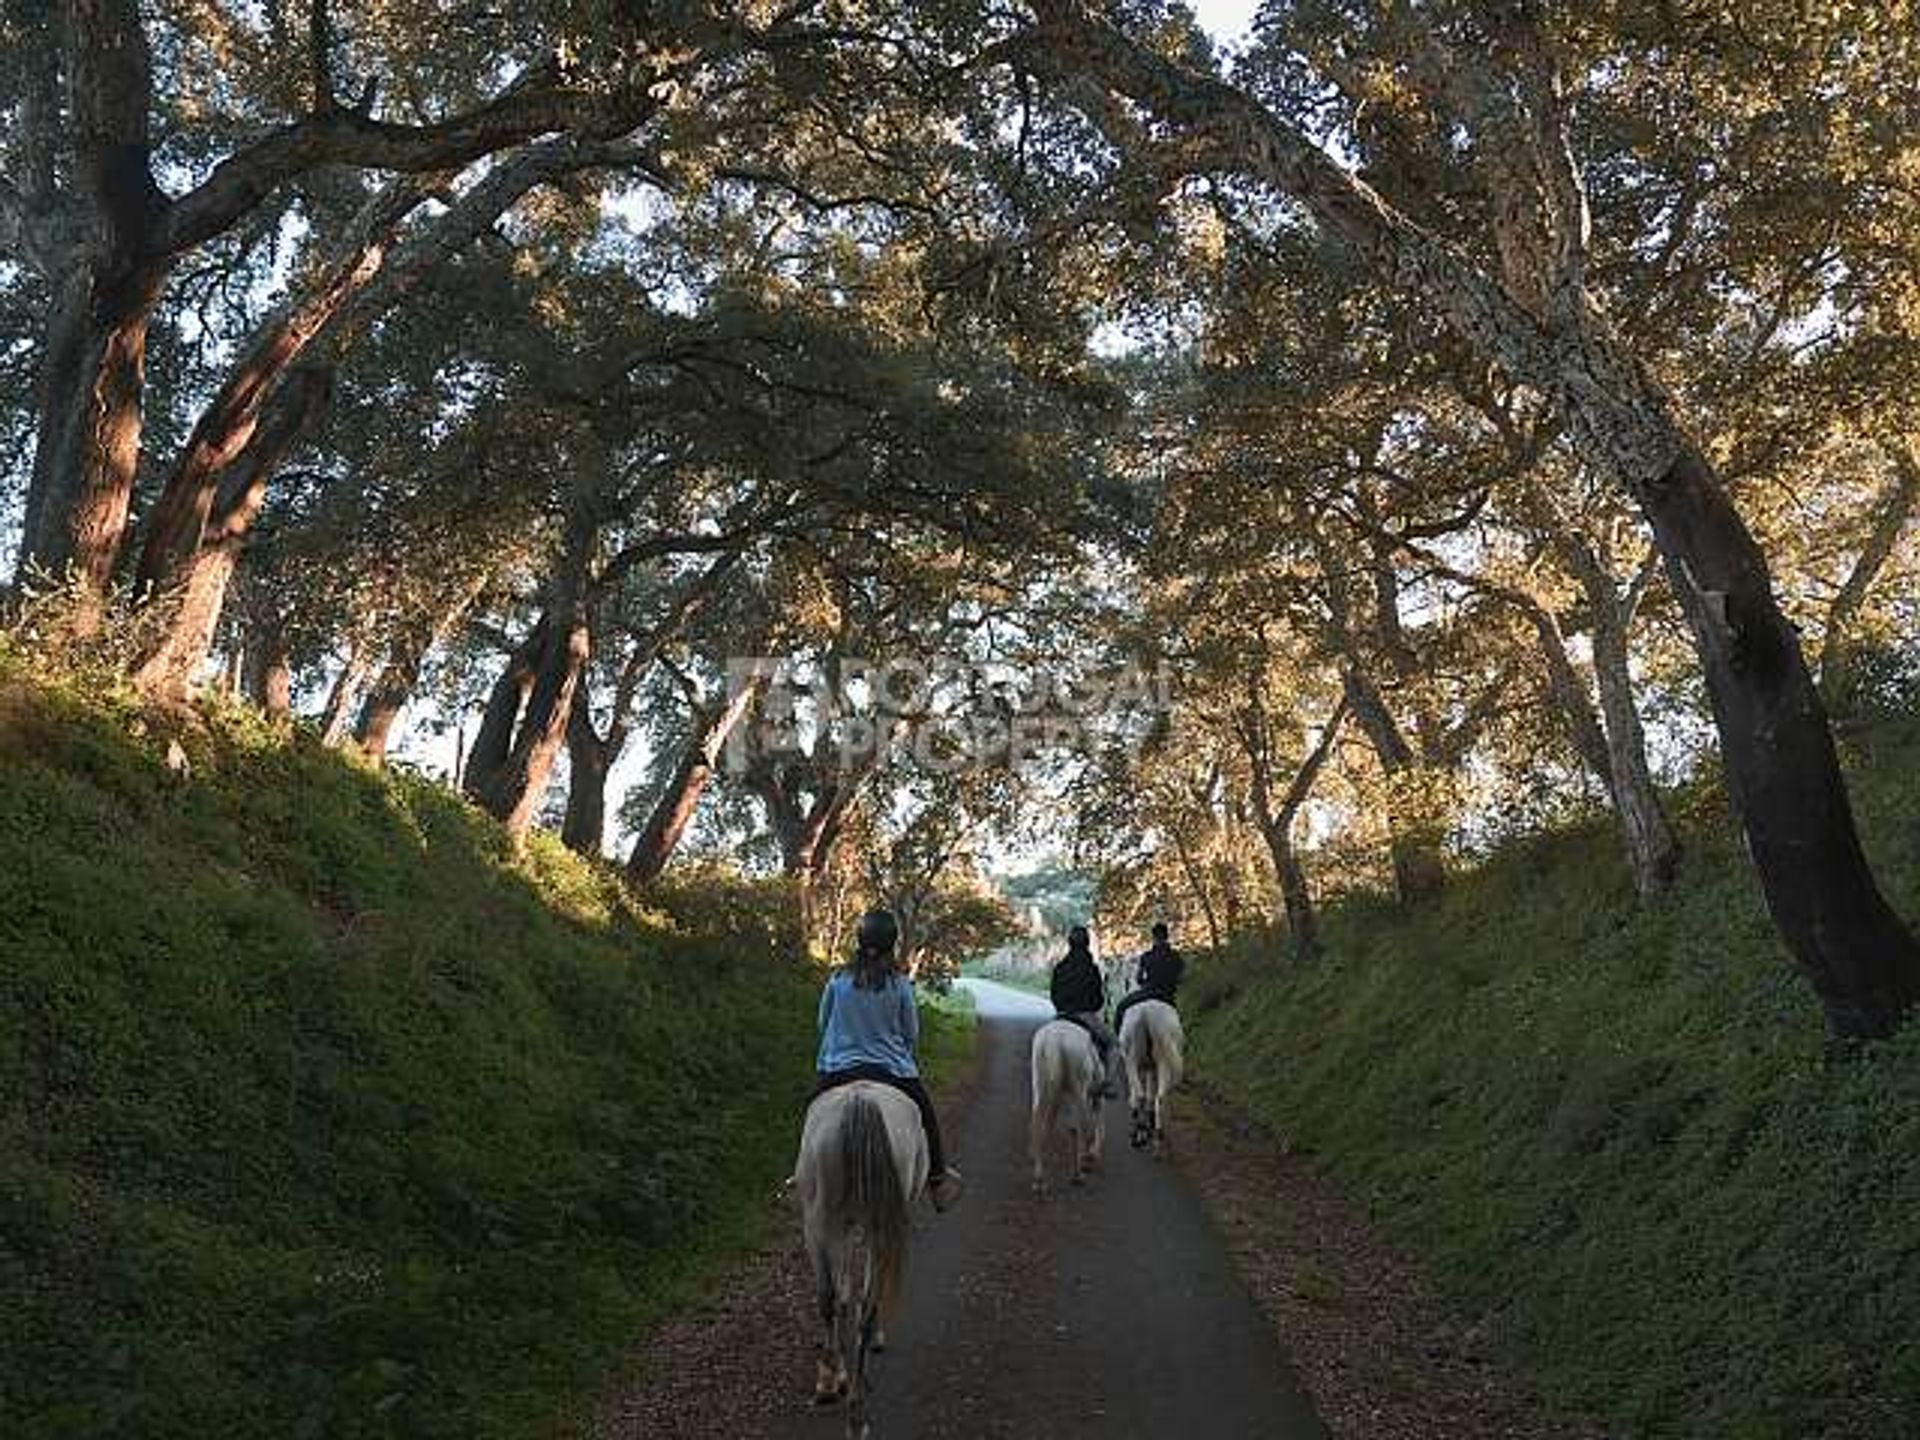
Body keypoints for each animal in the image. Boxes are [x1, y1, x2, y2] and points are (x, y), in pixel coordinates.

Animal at [787, 1090, 921, 1436]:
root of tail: (859, 1100)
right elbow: (852, 1293)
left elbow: (842, 1294)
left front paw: (836, 1377)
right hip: (863, 1226)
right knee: (863, 1302)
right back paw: (855, 1406)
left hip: (819, 1223)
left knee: (830, 1299)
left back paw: (838, 1391)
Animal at [1029, 1021, 1105, 1198]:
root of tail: (1054, 1041)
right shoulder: (1092, 1093)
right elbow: (1093, 1121)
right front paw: (1092, 1154)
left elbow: (1070, 1128)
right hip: (1078, 1087)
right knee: (1083, 1123)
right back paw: (1079, 1173)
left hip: (1042, 1086)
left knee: (1038, 1124)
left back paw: (1039, 1180)